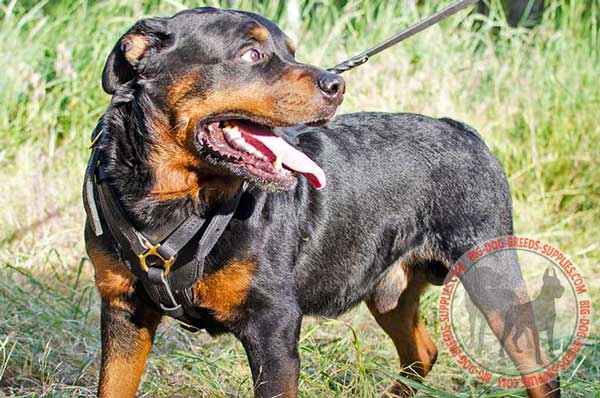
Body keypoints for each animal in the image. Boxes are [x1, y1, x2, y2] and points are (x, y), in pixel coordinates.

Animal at [85, 6, 564, 398]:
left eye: (290, 51)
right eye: (251, 55)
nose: (338, 83)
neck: (172, 201)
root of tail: (462, 128)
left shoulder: (273, 323)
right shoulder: (124, 309)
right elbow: (113, 386)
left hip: (491, 275)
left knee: (540, 371)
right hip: (389, 292)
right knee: (422, 352)